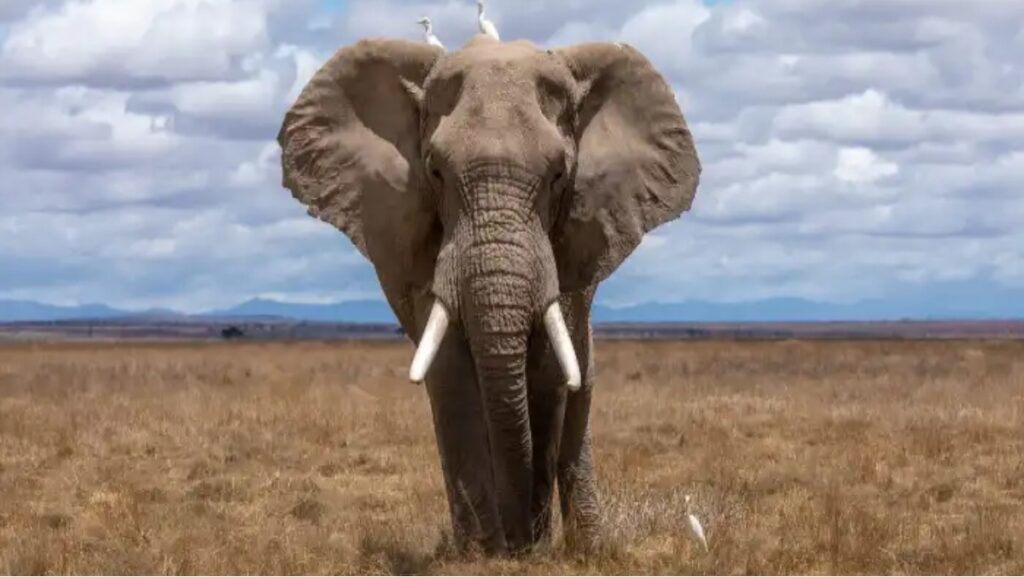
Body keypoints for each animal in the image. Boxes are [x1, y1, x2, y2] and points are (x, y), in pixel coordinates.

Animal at [277, 34, 701, 555]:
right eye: (435, 172)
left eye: (560, 174)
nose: (522, 540)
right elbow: (451, 373)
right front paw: (484, 553)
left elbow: (551, 371)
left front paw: (530, 548)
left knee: (581, 377)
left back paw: (588, 547)